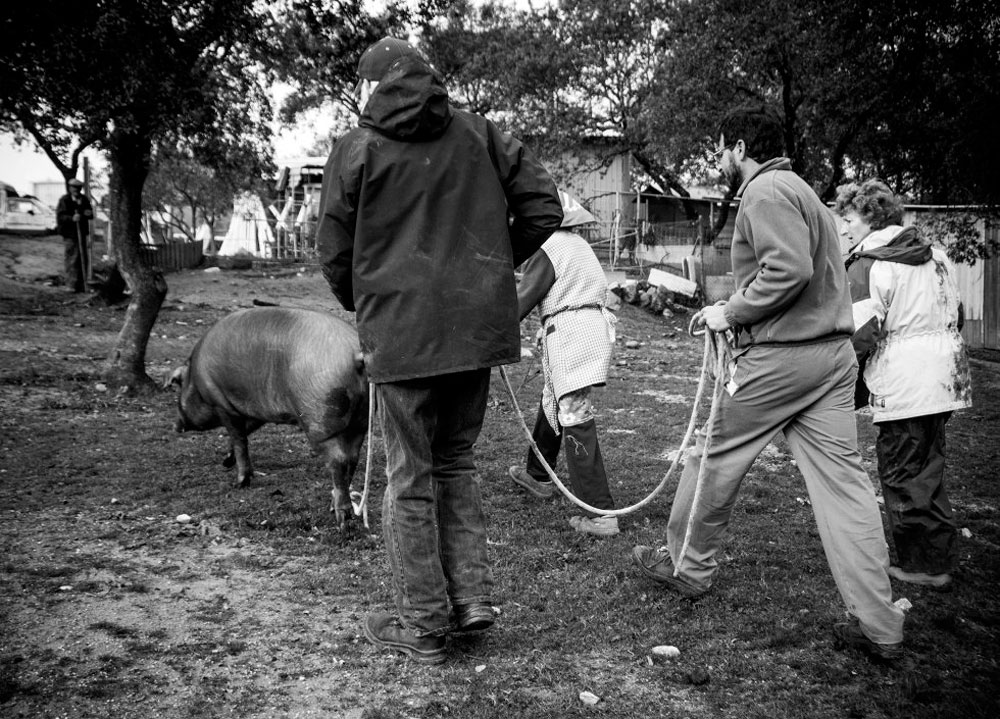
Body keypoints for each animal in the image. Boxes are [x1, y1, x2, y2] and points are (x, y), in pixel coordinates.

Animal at [168, 306, 372, 532]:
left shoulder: (222, 405)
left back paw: (342, 519)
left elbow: (239, 439)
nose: (175, 426)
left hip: (321, 421)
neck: (195, 377)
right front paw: (226, 461)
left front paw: (239, 483)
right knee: (352, 458)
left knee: (339, 461)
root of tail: (354, 352)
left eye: (178, 385)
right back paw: (333, 506)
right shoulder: (256, 411)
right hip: (360, 422)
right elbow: (246, 431)